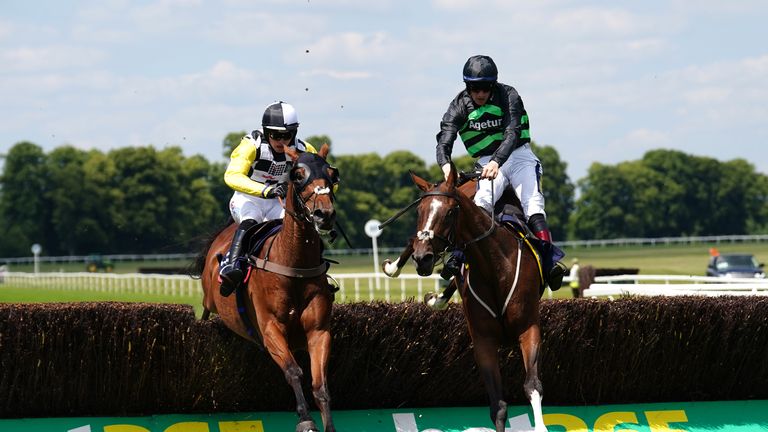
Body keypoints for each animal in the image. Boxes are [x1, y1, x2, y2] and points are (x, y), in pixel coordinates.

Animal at [198, 144, 340, 432]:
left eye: (332, 174)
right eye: (297, 175)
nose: (324, 214)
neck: (293, 264)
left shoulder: (319, 331)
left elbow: (320, 384)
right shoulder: (270, 328)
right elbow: (293, 370)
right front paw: (305, 419)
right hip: (210, 300)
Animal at [402, 164, 544, 430]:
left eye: (449, 212)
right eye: (419, 210)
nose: (421, 257)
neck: (493, 268)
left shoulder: (528, 327)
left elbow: (532, 385)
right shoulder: (483, 340)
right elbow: (498, 406)